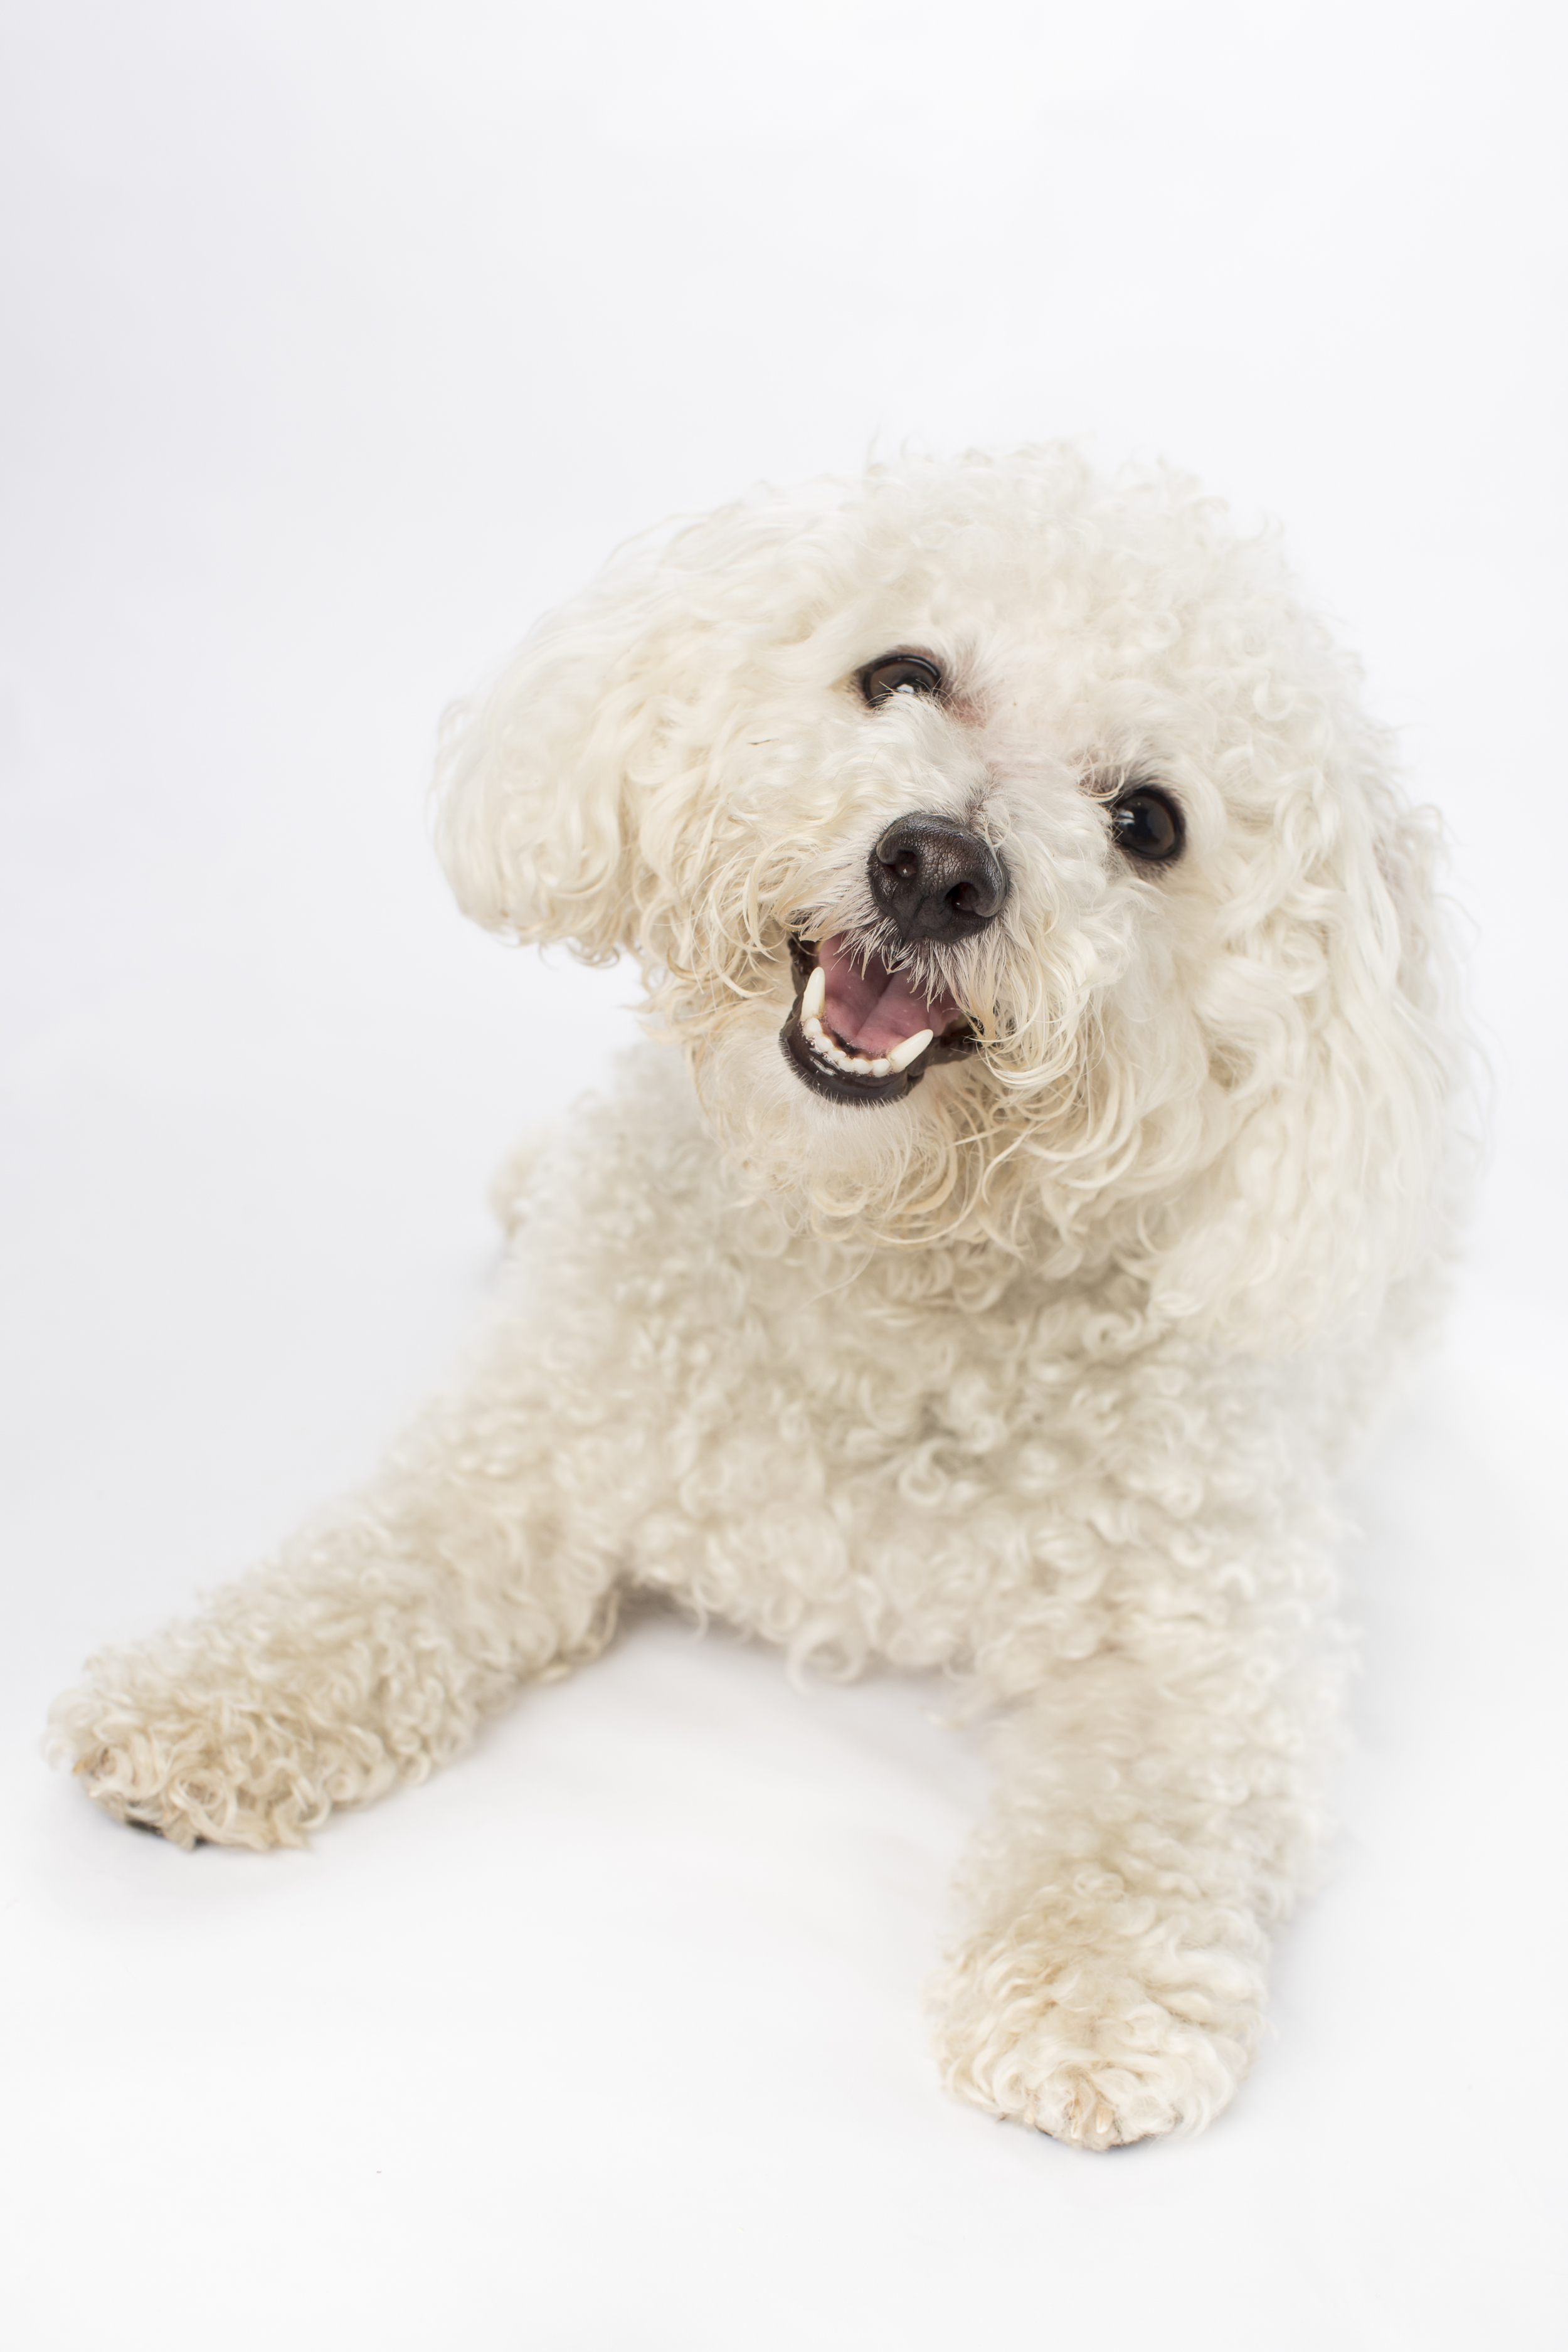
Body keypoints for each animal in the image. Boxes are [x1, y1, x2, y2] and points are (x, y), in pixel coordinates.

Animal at [51, 444, 1476, 2154]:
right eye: (903, 674)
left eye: (1148, 822)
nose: (937, 867)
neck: (871, 1264)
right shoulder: (521, 1456)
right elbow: (362, 1578)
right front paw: (201, 1703)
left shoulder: (1214, 1649)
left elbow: (1145, 1818)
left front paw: (1089, 2001)